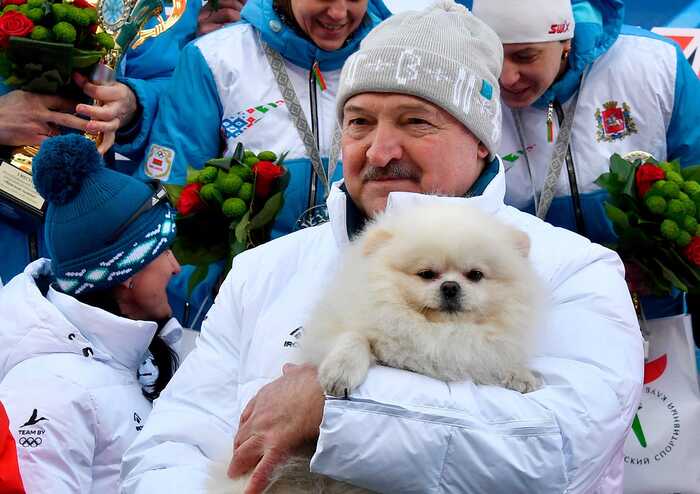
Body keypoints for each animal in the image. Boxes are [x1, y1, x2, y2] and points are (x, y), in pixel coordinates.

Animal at [213, 202, 548, 494]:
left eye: (475, 275)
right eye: (427, 274)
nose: (451, 287)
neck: (437, 331)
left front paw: (520, 375)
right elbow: (357, 337)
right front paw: (341, 371)